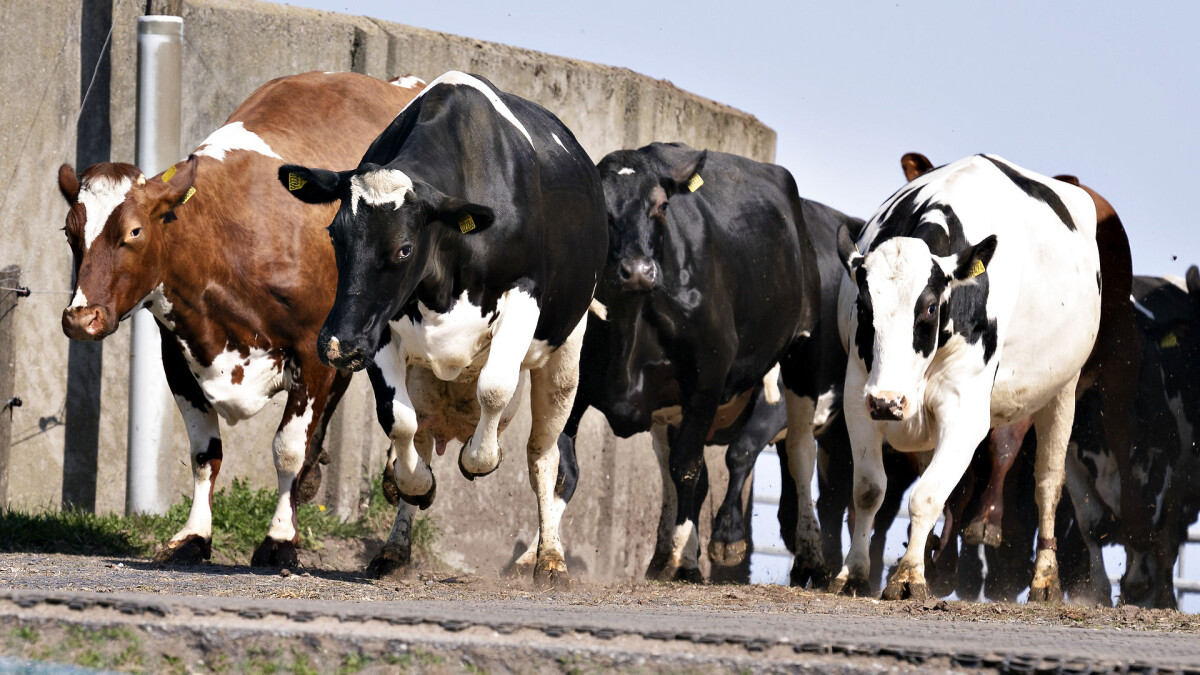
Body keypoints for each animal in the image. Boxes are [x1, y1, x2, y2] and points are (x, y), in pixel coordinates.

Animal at [60, 70, 429, 564]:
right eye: (70, 231)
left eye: (134, 231)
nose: (81, 318)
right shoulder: (178, 355)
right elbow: (205, 454)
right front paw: (194, 535)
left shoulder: (312, 350)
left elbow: (287, 448)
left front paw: (279, 540)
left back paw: (395, 536)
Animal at [277, 69, 604, 583]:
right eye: (334, 235)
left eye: (404, 248)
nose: (336, 344)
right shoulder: (380, 328)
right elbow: (398, 420)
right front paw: (414, 484)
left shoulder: (524, 294)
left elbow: (494, 389)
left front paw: (481, 459)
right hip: (424, 376)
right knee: (425, 432)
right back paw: (395, 546)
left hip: (566, 350)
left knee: (545, 455)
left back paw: (549, 558)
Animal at [559, 140, 825, 583]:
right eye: (603, 208)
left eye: (661, 206)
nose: (638, 271)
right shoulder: (573, 381)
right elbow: (563, 464)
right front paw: (543, 555)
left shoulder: (708, 374)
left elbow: (686, 467)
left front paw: (681, 551)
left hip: (801, 357)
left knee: (798, 455)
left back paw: (805, 555)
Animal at [835, 156, 1099, 598]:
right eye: (865, 305)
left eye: (928, 307)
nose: (888, 402)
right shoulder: (858, 394)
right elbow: (869, 489)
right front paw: (854, 573)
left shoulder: (965, 412)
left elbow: (925, 496)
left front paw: (908, 576)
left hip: (1064, 387)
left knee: (1047, 482)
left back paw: (1045, 578)